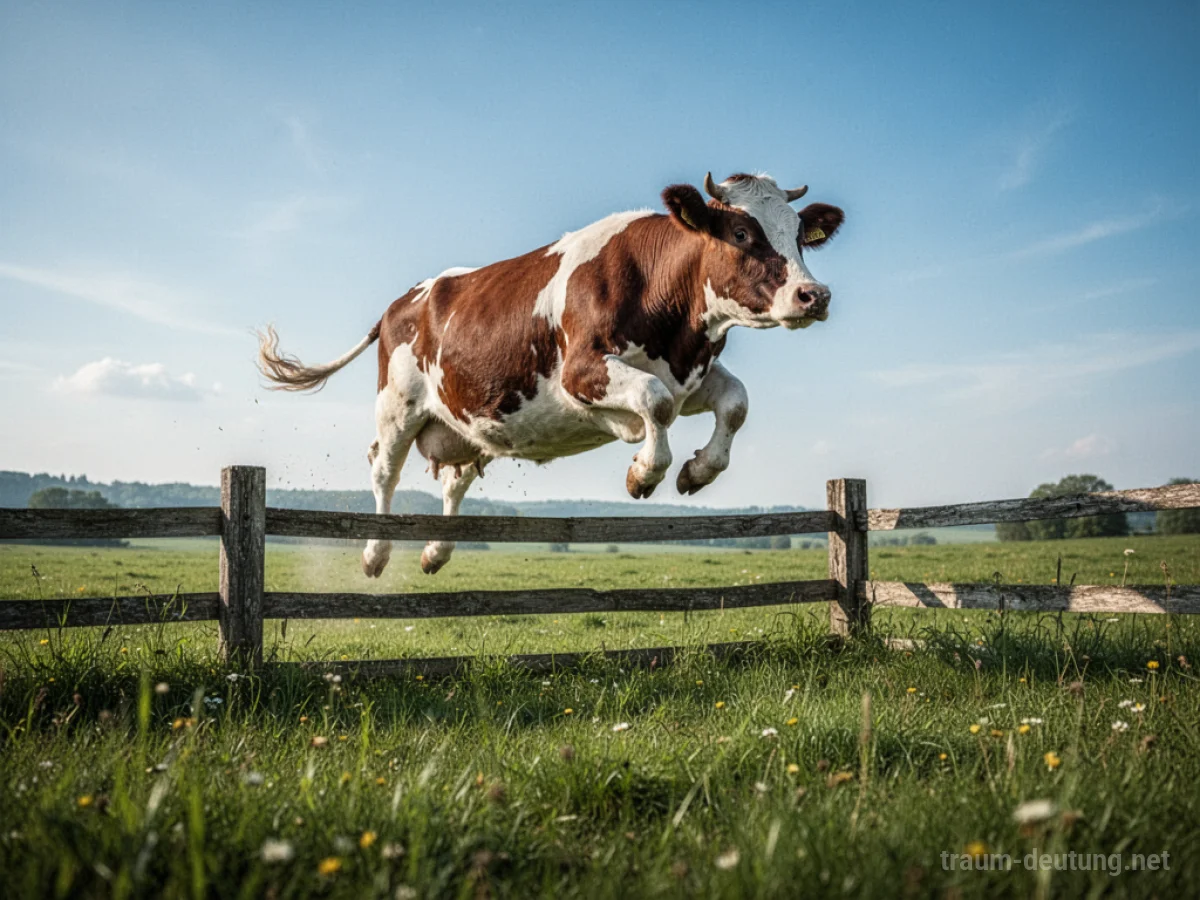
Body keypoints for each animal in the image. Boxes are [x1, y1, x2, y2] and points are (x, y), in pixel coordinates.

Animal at [257, 172, 845, 577]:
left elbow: (736, 402)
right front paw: (643, 473)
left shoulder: (690, 372)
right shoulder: (584, 373)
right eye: (743, 231)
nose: (814, 295)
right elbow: (653, 401)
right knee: (384, 470)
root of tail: (404, 300)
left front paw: (697, 472)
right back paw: (376, 553)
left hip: (467, 422)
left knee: (454, 479)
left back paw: (435, 551)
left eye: (798, 236)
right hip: (398, 405)